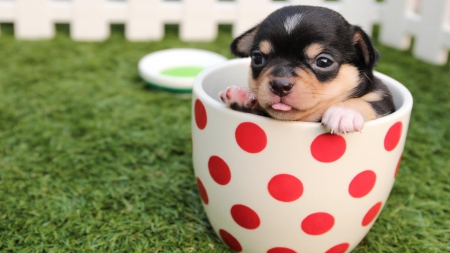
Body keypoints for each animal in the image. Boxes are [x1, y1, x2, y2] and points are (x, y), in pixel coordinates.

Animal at [221, 5, 394, 134]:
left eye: (323, 62)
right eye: (257, 58)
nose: (280, 85)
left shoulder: (384, 100)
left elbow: (369, 102)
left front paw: (344, 112)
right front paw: (241, 95)